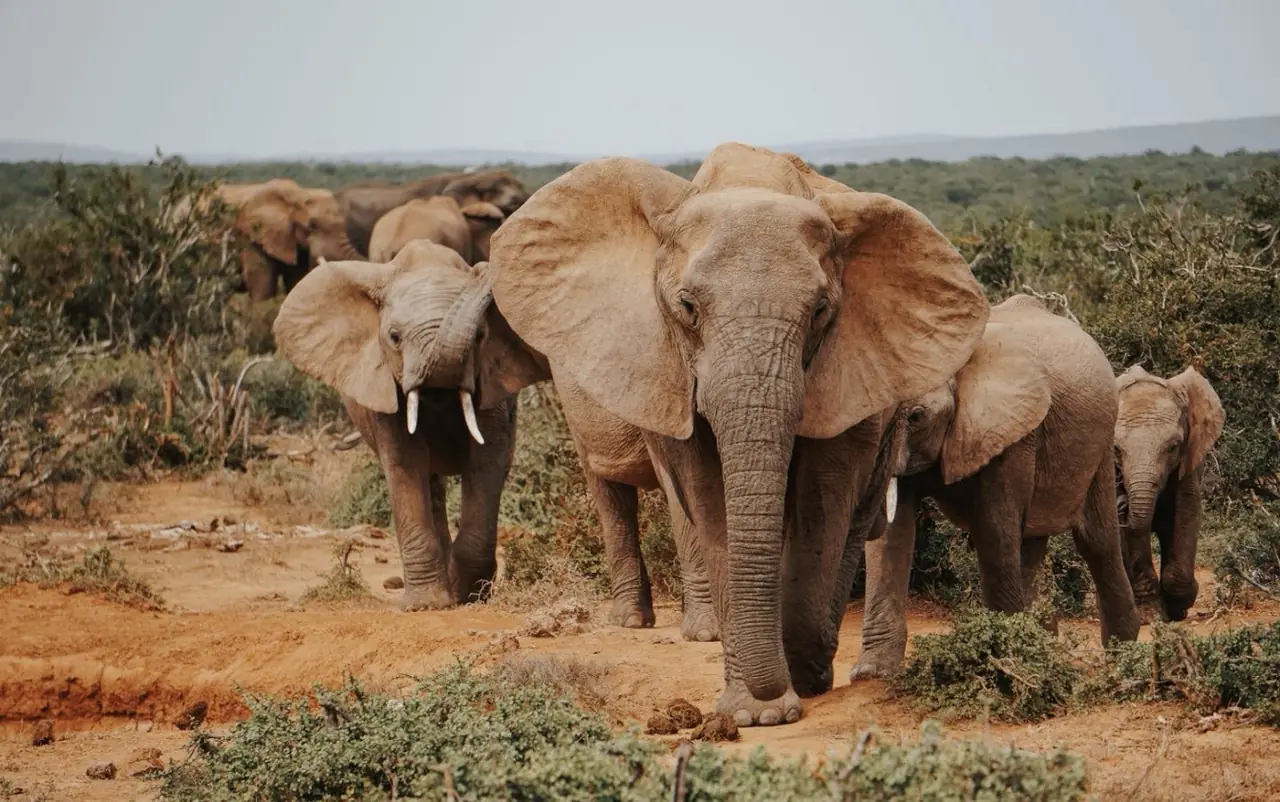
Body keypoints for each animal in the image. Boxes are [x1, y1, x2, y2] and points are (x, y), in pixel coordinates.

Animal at [271, 240, 549, 609]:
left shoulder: (491, 383)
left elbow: (488, 460)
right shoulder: (384, 388)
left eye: (480, 336)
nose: (482, 269)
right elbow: (405, 463)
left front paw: (468, 597)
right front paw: (428, 605)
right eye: (394, 337)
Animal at [486, 143, 989, 726]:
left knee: (857, 514)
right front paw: (753, 711)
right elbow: (707, 499)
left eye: (821, 311)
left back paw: (813, 664)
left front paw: (793, 685)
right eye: (687, 307)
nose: (779, 693)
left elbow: (825, 493)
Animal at [854, 295, 1143, 681]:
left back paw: (1121, 654)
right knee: (1031, 546)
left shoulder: (1013, 432)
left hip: (1101, 442)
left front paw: (1001, 663)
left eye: (916, 416)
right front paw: (872, 673)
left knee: (1096, 542)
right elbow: (891, 536)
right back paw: (1043, 645)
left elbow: (994, 529)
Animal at [1114, 365, 1224, 621]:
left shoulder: (1191, 455)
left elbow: (1187, 511)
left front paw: (1181, 606)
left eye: (1173, 447)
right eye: (1116, 450)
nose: (1122, 503)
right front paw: (1151, 615)